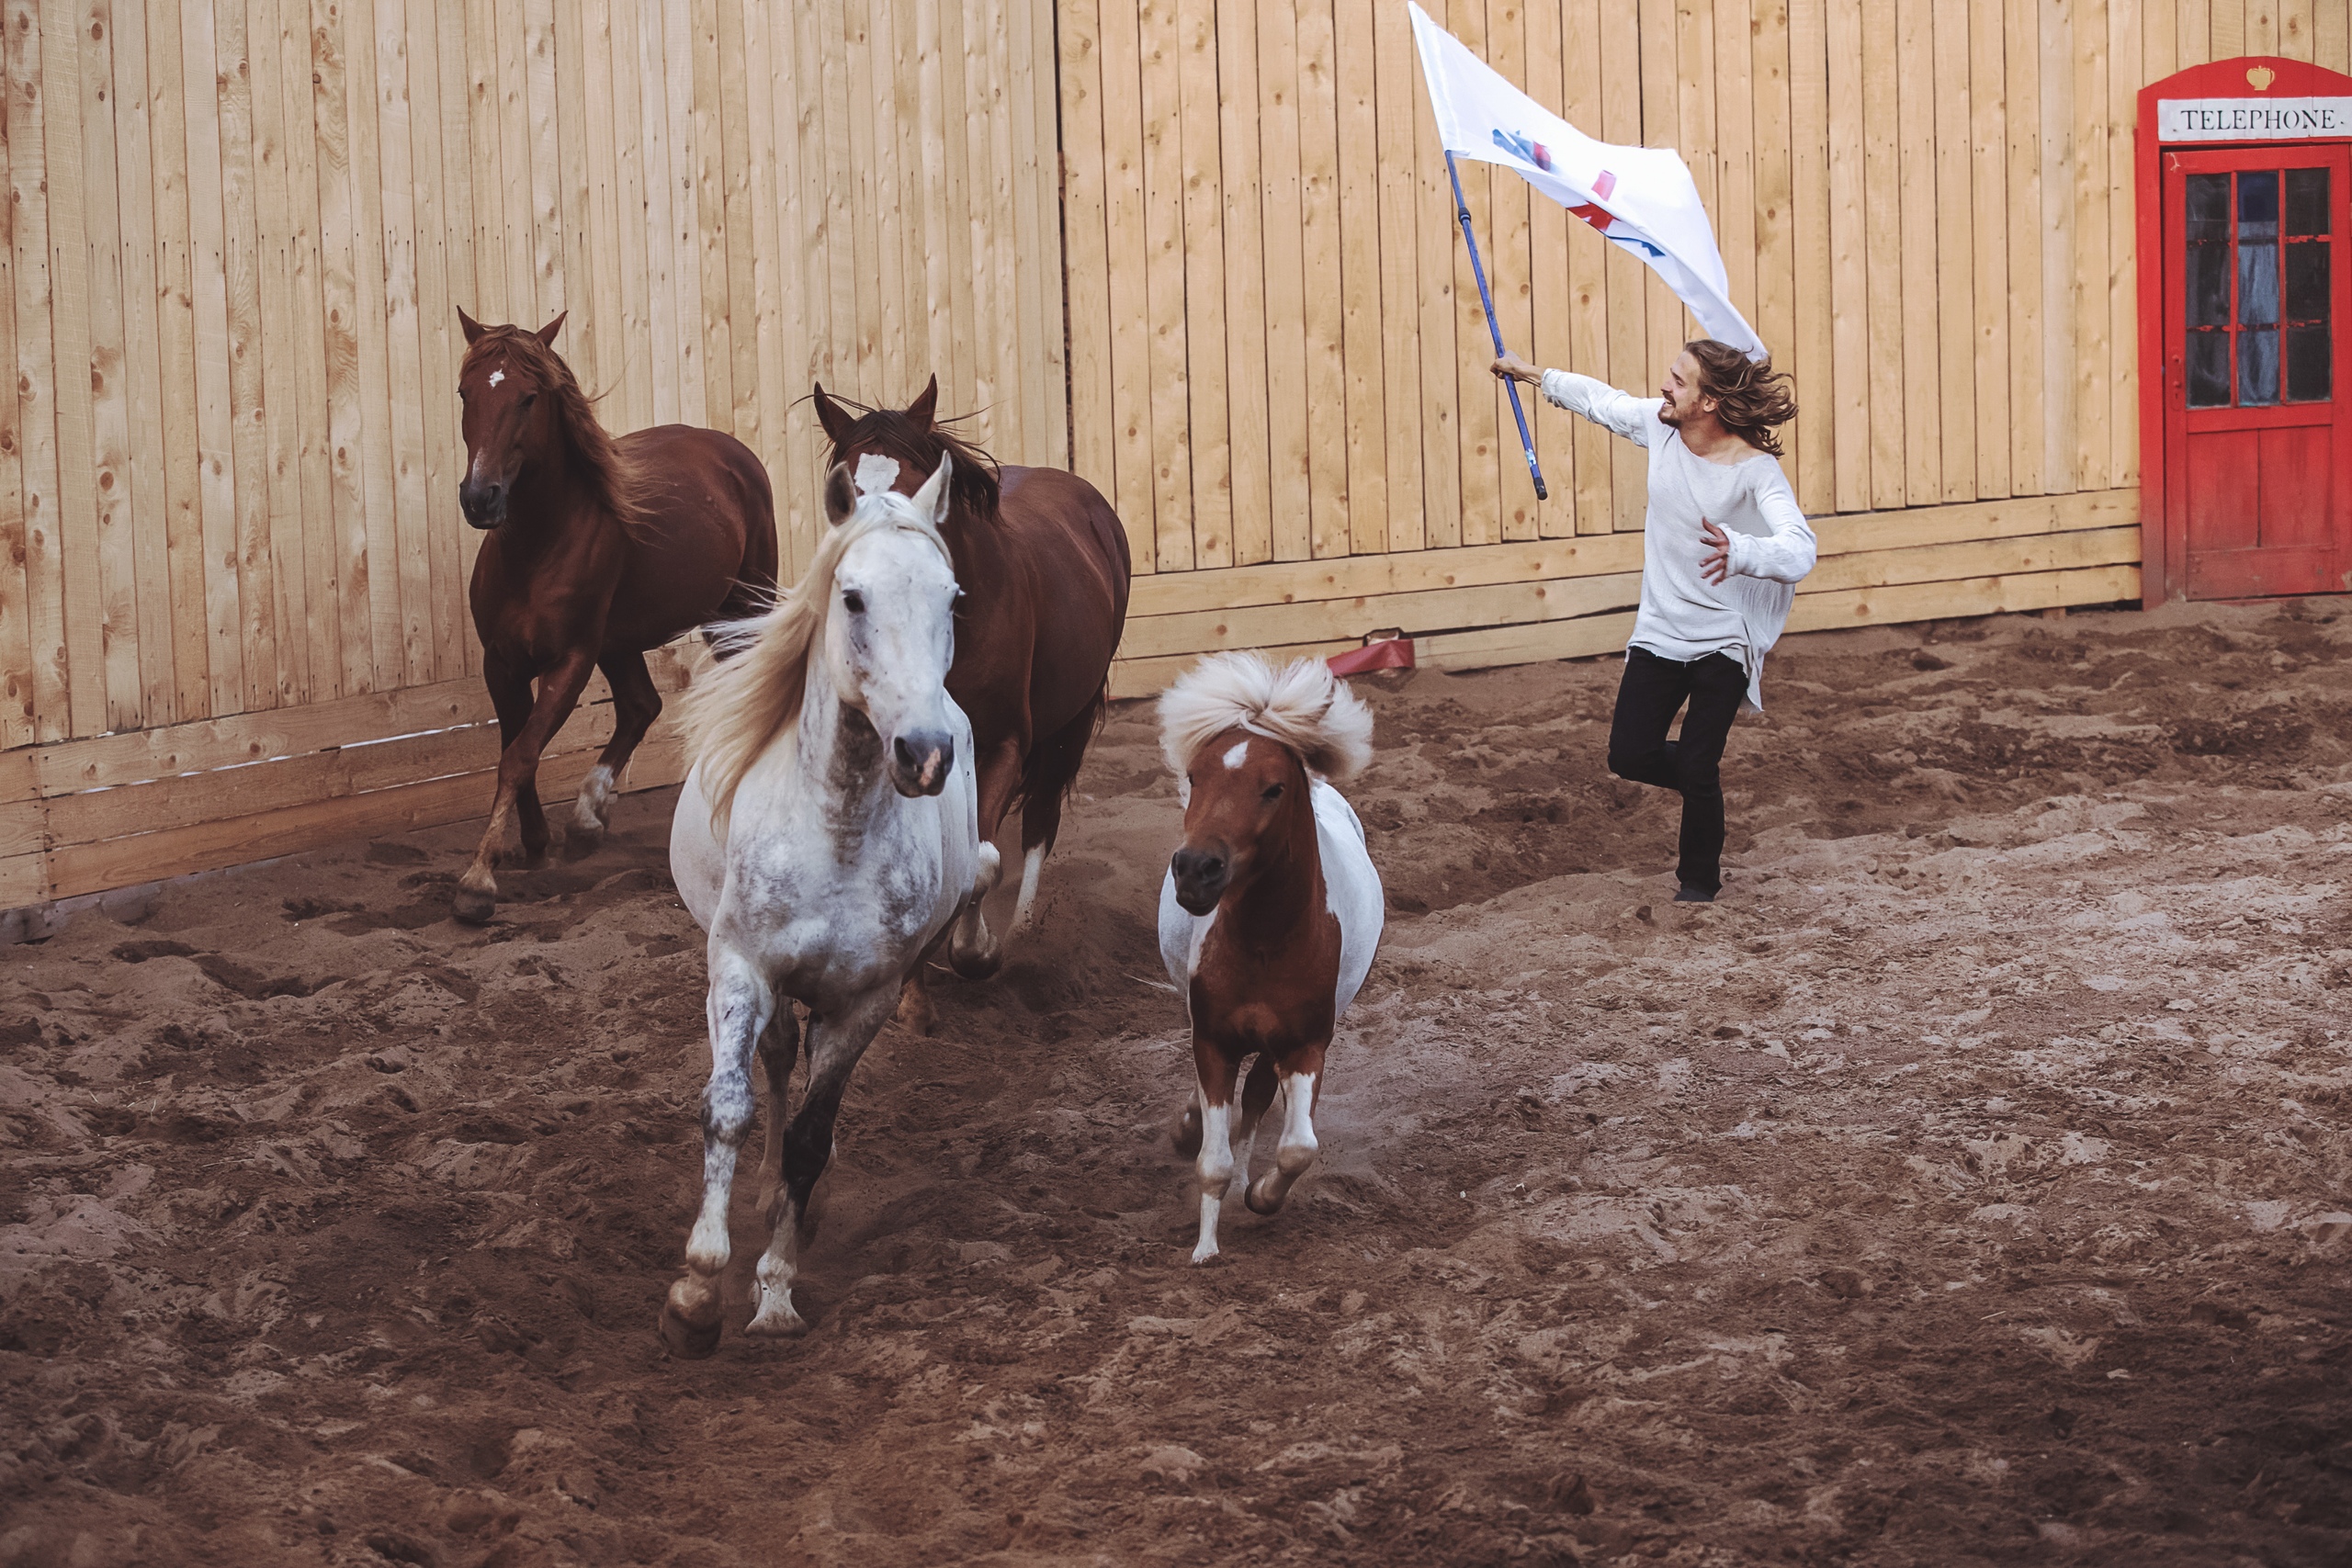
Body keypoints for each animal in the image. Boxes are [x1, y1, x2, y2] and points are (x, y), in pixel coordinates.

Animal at [442, 308, 771, 926]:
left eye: (528, 397)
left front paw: (477, 881)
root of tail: (729, 450)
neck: (536, 547)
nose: (480, 498)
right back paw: (588, 818)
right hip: (623, 641)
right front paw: (537, 845)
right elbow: (515, 751)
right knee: (642, 706)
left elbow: (521, 755)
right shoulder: (502, 663)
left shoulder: (571, 659)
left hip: (738, 611)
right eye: (465, 392)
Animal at [658, 453, 978, 1363]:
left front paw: (774, 1293)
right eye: (854, 597)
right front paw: (697, 1289)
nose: (925, 753)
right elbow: (729, 1107)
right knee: (770, 1060)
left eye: (953, 598)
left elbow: (812, 1134)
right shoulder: (739, 967)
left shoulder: (866, 1000)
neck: (834, 827)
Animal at [813, 380, 1133, 1029]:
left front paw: (976, 953)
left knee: (1040, 820)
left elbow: (981, 859)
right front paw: (912, 998)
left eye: (915, 490)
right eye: (841, 497)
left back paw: (1026, 933)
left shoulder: (1002, 744)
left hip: (1071, 723)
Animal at [1152, 649, 1374, 1259]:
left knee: (1255, 1102)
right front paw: (1205, 1248)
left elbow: (1299, 1146)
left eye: (1273, 788)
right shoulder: (1214, 1041)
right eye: (1195, 776)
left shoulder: (1303, 1046)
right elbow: (1213, 1159)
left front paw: (1259, 1196)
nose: (1195, 870)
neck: (1266, 942)